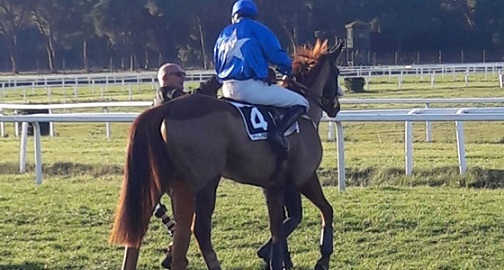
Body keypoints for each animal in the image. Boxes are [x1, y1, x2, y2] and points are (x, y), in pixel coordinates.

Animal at [109, 38, 346, 270]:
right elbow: (323, 211)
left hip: (164, 181)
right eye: (337, 72)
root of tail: (166, 108)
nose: (335, 105)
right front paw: (321, 258)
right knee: (199, 230)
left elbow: (285, 223)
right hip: (204, 183)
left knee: (145, 226)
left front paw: (272, 255)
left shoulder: (277, 185)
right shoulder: (304, 177)